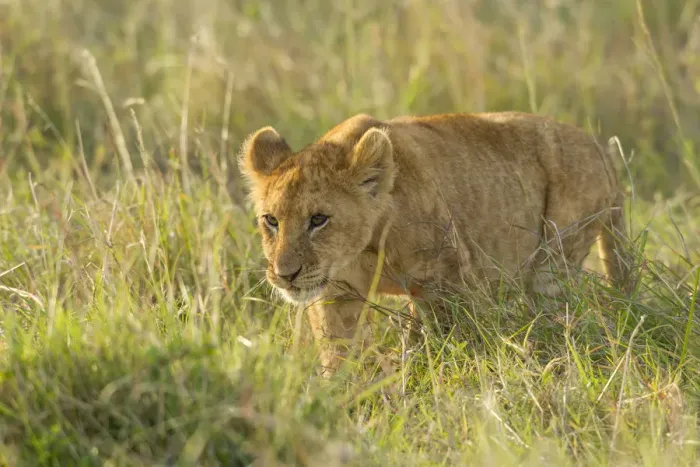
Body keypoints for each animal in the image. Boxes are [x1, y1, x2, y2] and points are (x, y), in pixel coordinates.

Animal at [238, 112, 632, 375]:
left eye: (318, 220)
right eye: (271, 220)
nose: (285, 275)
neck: (365, 248)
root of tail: (602, 151)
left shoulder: (449, 283)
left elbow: (448, 344)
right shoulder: (337, 292)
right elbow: (341, 350)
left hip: (554, 261)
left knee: (557, 313)